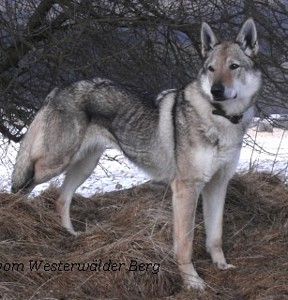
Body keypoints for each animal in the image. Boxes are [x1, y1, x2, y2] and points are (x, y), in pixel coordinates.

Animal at [11, 19, 260, 290]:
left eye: (233, 66)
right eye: (211, 69)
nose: (216, 90)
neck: (222, 120)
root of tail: (58, 89)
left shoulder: (218, 184)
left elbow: (215, 236)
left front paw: (221, 266)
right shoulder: (186, 187)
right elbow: (185, 243)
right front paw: (192, 281)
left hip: (84, 166)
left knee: (61, 199)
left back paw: (71, 234)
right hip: (54, 164)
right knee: (24, 185)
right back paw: (15, 213)